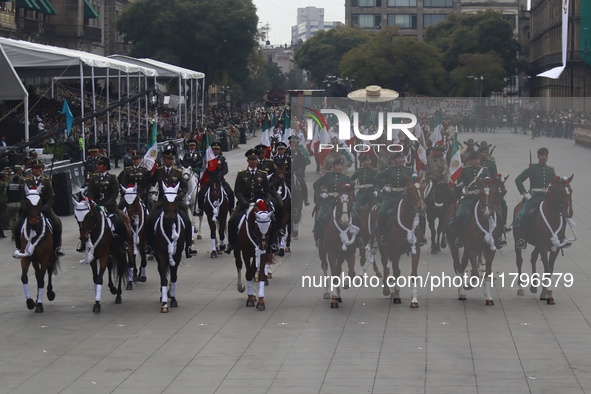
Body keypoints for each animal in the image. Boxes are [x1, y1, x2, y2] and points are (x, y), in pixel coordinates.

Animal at [14, 185, 60, 314]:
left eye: (40, 203)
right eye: (27, 203)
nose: (34, 220)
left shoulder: (45, 258)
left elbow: (41, 280)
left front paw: (39, 305)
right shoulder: (26, 257)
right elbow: (24, 277)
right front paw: (30, 302)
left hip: (52, 257)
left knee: (48, 272)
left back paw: (49, 293)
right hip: (35, 260)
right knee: (37, 273)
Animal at [151, 182, 186, 314]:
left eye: (176, 199)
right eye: (165, 199)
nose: (170, 216)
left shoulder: (177, 254)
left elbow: (174, 275)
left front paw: (173, 298)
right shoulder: (160, 253)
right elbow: (163, 277)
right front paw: (165, 303)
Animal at [380, 178, 426, 308]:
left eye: (422, 189)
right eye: (410, 189)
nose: (421, 207)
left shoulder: (416, 249)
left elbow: (414, 274)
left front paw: (414, 300)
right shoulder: (394, 250)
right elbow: (395, 272)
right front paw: (396, 296)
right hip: (383, 248)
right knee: (386, 266)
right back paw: (387, 289)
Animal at [448, 177, 504, 306]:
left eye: (494, 193)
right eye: (481, 194)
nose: (487, 212)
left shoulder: (490, 249)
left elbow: (488, 272)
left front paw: (488, 296)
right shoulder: (473, 248)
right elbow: (474, 273)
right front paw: (468, 285)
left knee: (463, 264)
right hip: (454, 244)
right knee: (458, 265)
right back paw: (462, 291)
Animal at [512, 174, 576, 304]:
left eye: (570, 191)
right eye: (560, 191)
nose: (569, 212)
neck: (552, 217)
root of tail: (520, 204)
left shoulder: (555, 248)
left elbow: (550, 269)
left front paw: (545, 292)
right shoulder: (543, 246)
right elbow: (547, 267)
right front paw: (547, 292)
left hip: (538, 244)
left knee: (533, 257)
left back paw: (534, 286)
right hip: (518, 240)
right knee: (519, 260)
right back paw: (521, 287)